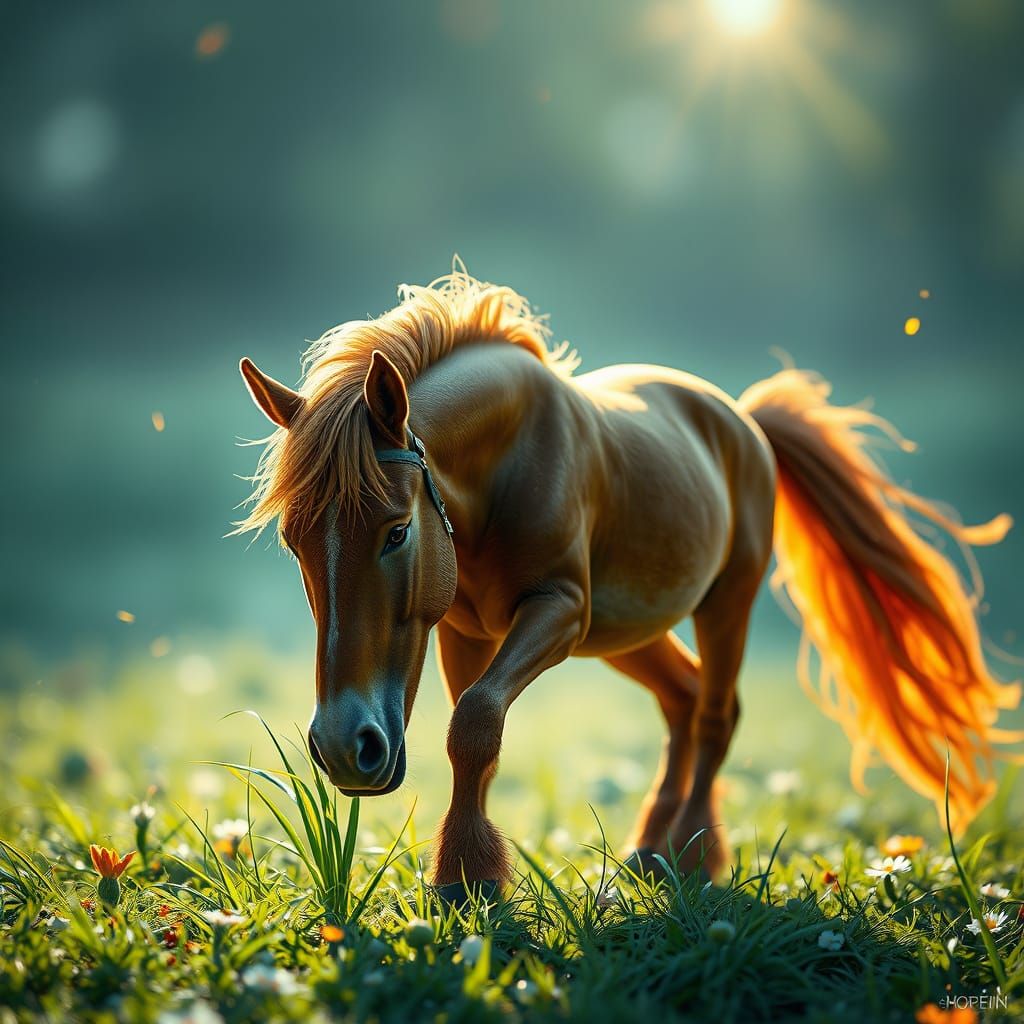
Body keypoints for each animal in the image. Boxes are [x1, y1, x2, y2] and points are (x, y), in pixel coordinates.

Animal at [236, 268, 1020, 893]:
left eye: (397, 531)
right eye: (293, 542)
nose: (345, 748)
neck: (507, 461)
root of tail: (743, 419)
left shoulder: (561, 610)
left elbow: (476, 724)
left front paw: (466, 877)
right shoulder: (463, 628)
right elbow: (474, 736)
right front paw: (467, 880)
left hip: (724, 601)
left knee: (715, 714)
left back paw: (692, 855)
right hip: (630, 635)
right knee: (683, 701)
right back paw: (650, 852)